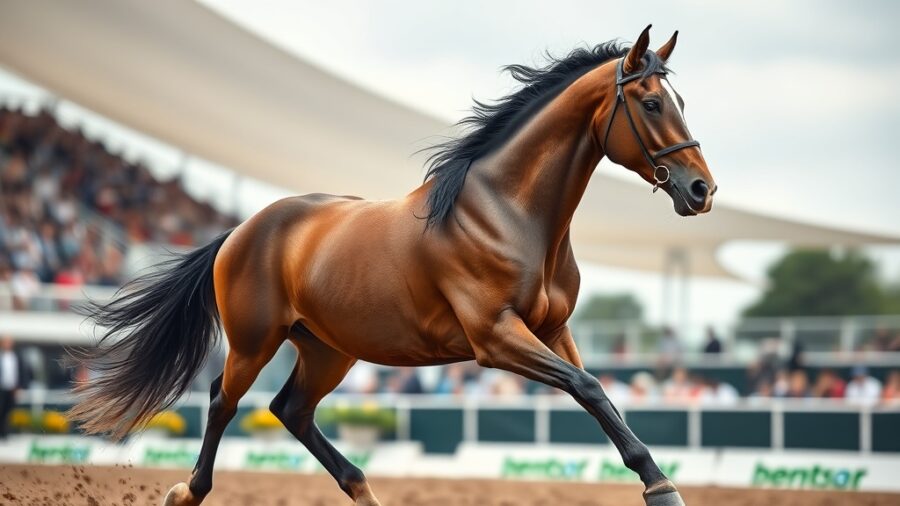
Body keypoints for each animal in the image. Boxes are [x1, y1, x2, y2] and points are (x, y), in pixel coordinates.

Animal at [70, 25, 716, 506]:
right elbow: (591, 388)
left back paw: (361, 487)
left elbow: (599, 395)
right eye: (651, 103)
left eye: (682, 102)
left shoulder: (553, 330)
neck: (509, 215)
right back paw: (187, 491)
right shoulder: (495, 338)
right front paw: (662, 489)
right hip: (255, 343)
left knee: (290, 410)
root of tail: (242, 229)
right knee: (221, 403)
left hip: (329, 348)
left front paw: (658, 480)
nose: (701, 190)